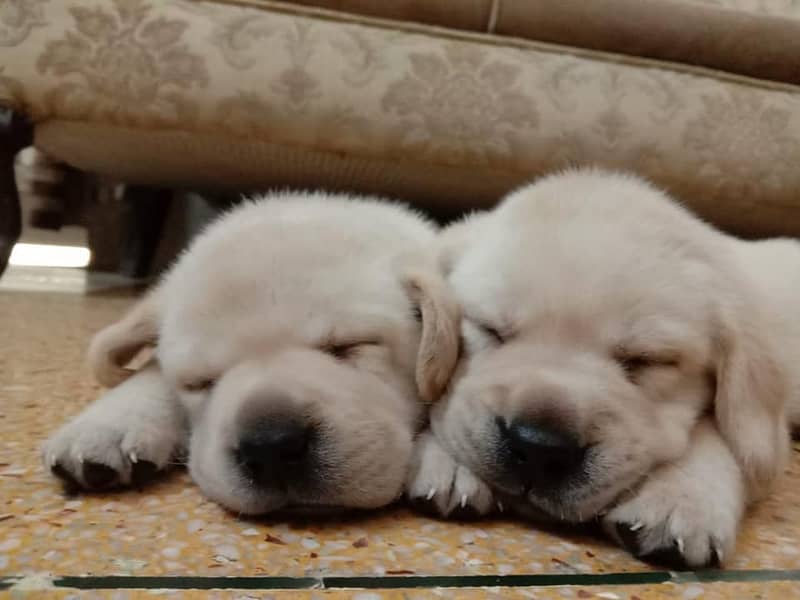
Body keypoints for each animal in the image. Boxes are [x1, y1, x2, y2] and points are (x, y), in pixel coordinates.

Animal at [42, 193, 456, 516]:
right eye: (200, 381)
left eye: (348, 346)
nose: (271, 446)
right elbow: (152, 372)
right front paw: (109, 422)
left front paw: (448, 457)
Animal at [410, 169, 796, 568]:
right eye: (491, 330)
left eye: (645, 359)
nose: (539, 448)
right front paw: (448, 462)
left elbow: (725, 436)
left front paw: (681, 497)